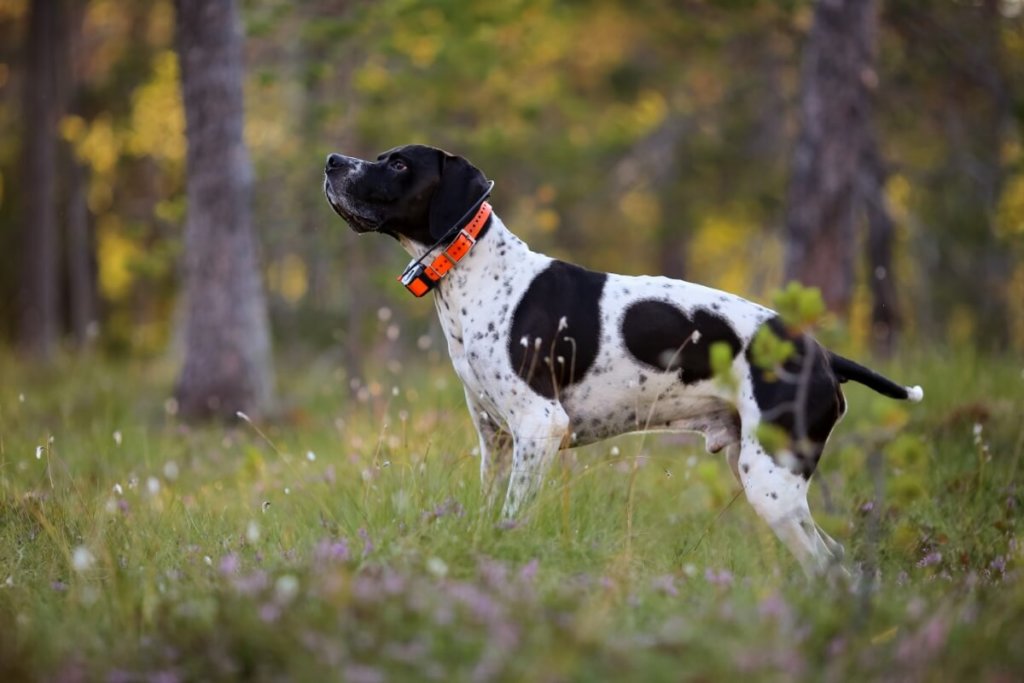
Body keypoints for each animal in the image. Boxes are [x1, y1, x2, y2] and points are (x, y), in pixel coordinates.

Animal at [323, 145, 925, 577]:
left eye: (398, 162)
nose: (331, 161)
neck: (480, 271)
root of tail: (823, 354)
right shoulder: (495, 440)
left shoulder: (540, 426)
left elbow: (513, 518)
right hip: (765, 474)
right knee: (835, 558)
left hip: (771, 482)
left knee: (825, 563)